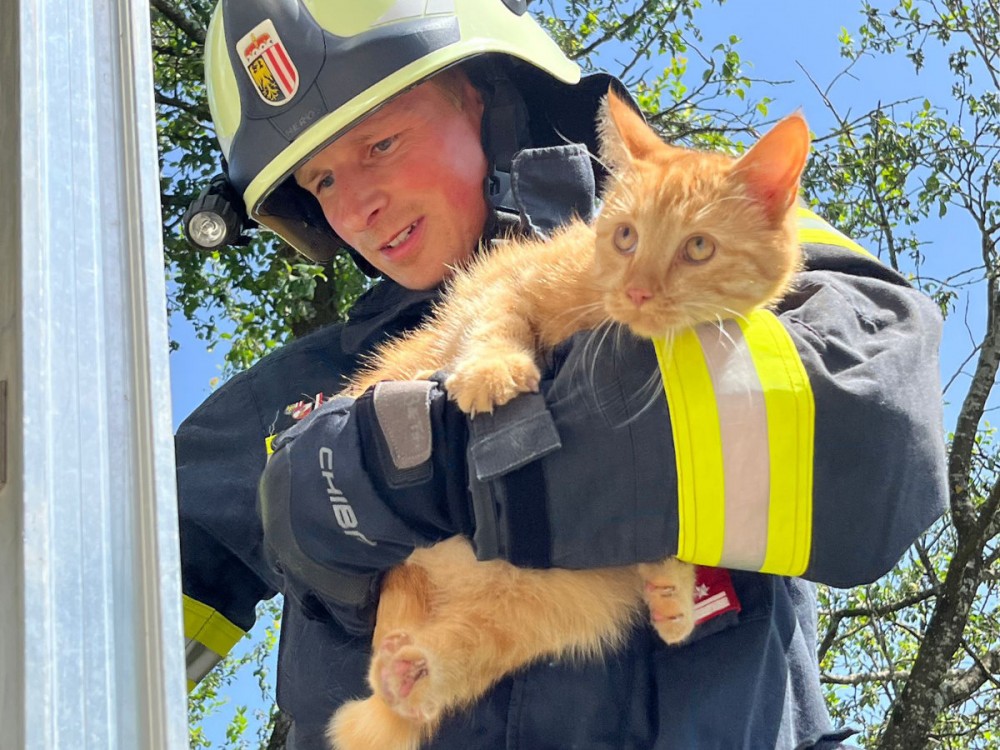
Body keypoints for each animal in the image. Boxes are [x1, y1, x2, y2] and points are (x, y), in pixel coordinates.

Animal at [328, 89, 812, 750]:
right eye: (626, 236)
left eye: (698, 248)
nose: (637, 291)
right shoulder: (505, 284)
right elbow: (496, 321)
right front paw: (493, 370)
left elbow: (665, 522)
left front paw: (675, 589)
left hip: (545, 610)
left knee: (471, 651)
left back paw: (415, 675)